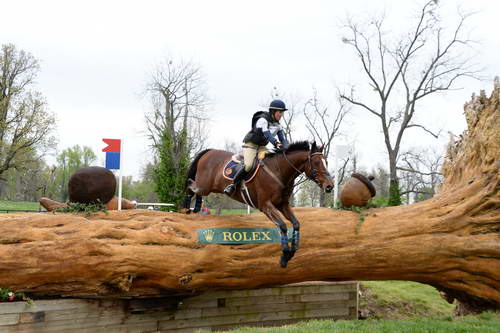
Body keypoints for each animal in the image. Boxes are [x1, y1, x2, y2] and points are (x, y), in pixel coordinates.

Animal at [182, 141, 334, 268]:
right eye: (316, 163)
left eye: (326, 162)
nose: (330, 186)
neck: (279, 171)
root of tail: (209, 151)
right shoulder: (266, 206)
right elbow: (283, 226)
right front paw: (285, 254)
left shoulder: (283, 205)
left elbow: (296, 224)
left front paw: (291, 252)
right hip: (205, 185)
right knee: (190, 185)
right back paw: (186, 209)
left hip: (208, 187)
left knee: (195, 189)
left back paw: (196, 207)